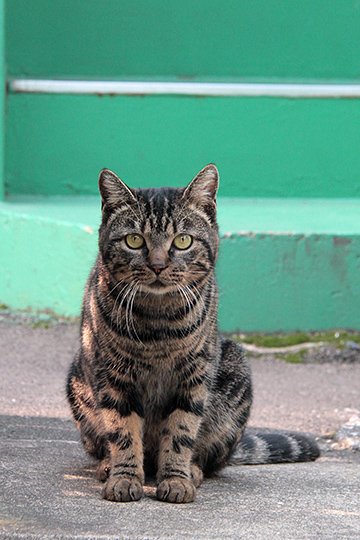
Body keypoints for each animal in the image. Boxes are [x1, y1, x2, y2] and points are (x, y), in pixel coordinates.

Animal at [66, 165, 320, 502]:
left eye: (183, 241)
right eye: (134, 240)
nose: (158, 265)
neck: (157, 322)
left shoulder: (194, 377)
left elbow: (181, 431)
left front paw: (176, 479)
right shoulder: (113, 376)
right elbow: (122, 432)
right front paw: (124, 477)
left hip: (234, 372)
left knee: (209, 458)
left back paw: (192, 471)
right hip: (78, 384)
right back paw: (109, 466)